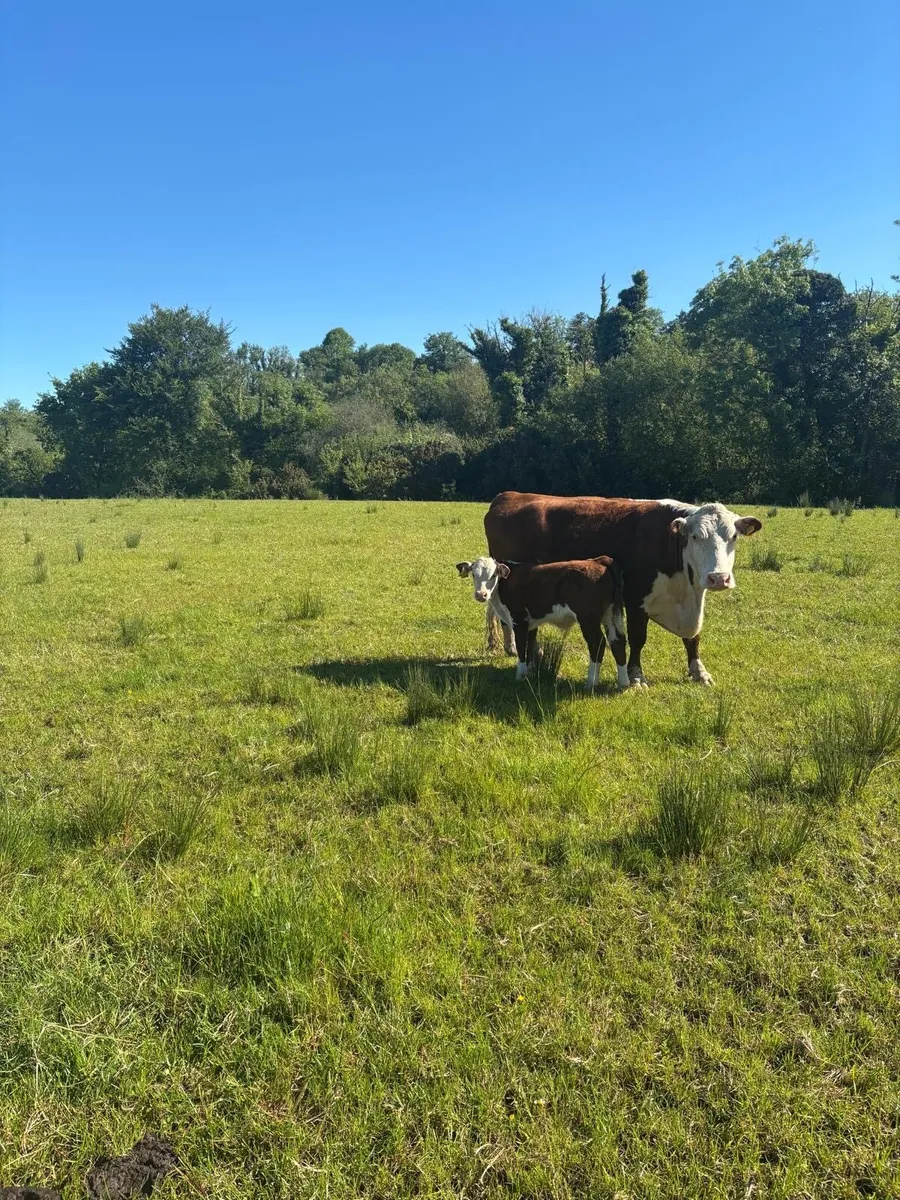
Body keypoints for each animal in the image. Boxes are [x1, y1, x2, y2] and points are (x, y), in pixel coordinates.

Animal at [456, 555, 629, 691]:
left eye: (493, 575)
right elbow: (530, 646)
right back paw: (624, 682)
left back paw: (591, 683)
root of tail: (598, 561)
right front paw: (529, 672)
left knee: (597, 644)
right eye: (473, 574)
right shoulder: (531, 624)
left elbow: (521, 648)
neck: (505, 583)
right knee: (618, 641)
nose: (481, 594)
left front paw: (520, 675)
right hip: (610, 615)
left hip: (588, 620)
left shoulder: (519, 620)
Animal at [483, 492, 763, 687]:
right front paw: (636, 676)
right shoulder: (635, 599)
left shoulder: (692, 601)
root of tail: (509, 495)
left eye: (733, 537)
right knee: (505, 619)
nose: (718, 578)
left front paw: (699, 671)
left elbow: (693, 637)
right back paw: (515, 650)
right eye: (695, 537)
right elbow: (638, 638)